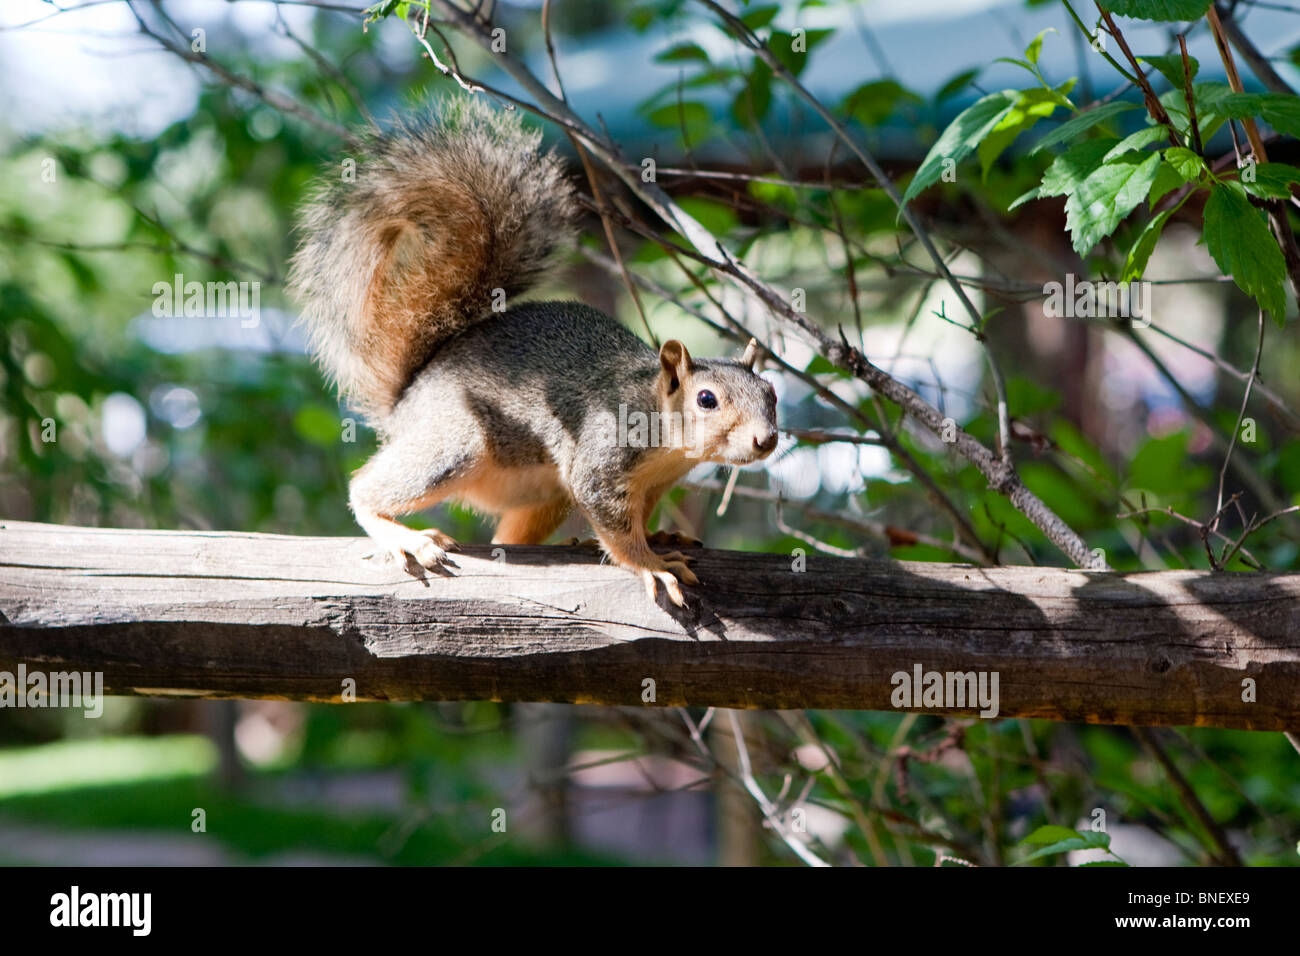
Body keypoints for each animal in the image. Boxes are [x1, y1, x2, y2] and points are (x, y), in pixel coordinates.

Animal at [289, 98, 774, 606]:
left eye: (772, 394)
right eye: (707, 399)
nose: (767, 439)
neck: (665, 434)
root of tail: (405, 400)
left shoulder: (653, 484)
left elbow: (636, 520)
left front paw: (658, 536)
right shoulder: (602, 458)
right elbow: (617, 530)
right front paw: (652, 564)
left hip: (542, 494)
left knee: (508, 536)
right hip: (456, 442)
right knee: (365, 489)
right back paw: (407, 538)